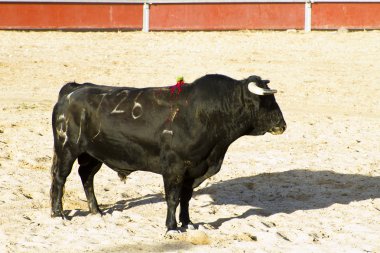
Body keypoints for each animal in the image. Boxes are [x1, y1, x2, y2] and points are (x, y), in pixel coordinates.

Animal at [51, 73, 288, 231]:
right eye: (266, 102)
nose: (282, 125)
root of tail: (72, 90)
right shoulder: (174, 167)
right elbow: (173, 197)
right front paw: (172, 227)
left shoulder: (195, 169)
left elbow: (186, 197)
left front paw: (188, 223)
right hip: (66, 148)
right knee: (60, 178)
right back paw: (58, 214)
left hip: (93, 154)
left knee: (86, 176)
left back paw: (96, 211)